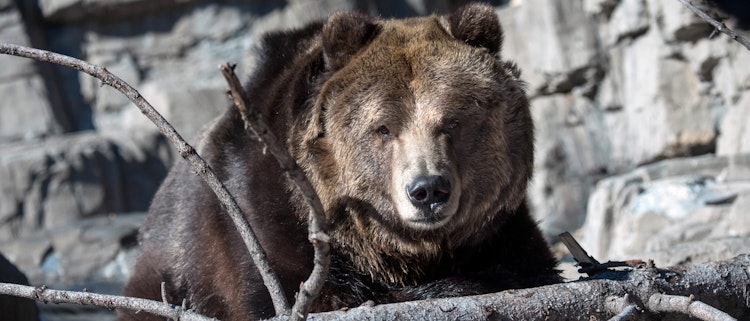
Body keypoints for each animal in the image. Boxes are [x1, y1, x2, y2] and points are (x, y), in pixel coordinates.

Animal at [120, 3, 560, 320]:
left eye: (452, 121)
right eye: (383, 128)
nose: (428, 189)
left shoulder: (501, 233)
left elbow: (526, 270)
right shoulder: (257, 215)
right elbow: (301, 294)